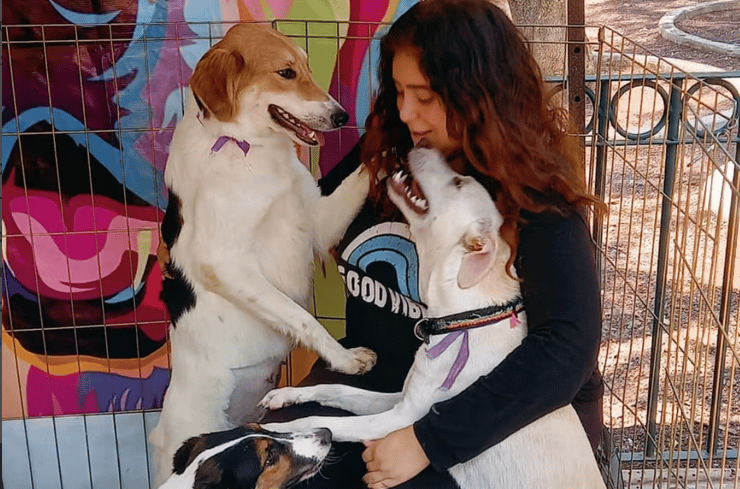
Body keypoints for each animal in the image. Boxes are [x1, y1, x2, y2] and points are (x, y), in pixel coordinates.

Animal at [258, 146, 606, 488]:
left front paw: (281, 431)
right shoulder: (400, 399)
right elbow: (336, 390)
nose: (422, 147)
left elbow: (326, 421)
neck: (465, 319)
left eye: (459, 182)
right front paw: (286, 396)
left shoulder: (398, 420)